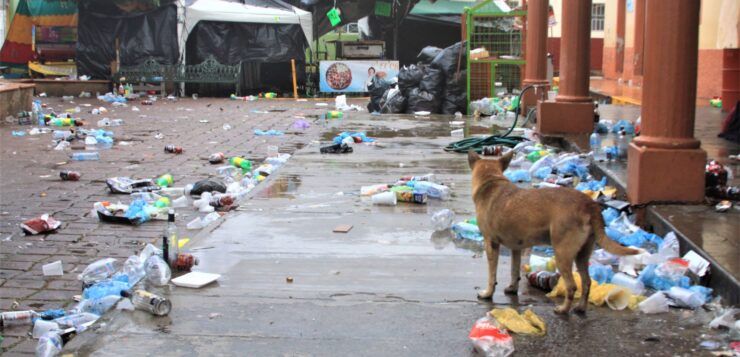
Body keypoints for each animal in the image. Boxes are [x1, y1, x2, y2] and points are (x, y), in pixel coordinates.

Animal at [472, 149, 640, 312]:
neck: (491, 180)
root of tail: (589, 205)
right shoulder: (516, 248)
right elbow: (514, 271)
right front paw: (512, 288)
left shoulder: (491, 244)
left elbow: (492, 275)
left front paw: (488, 293)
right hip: (582, 254)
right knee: (586, 282)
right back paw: (580, 308)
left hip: (562, 253)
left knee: (571, 286)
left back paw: (563, 309)